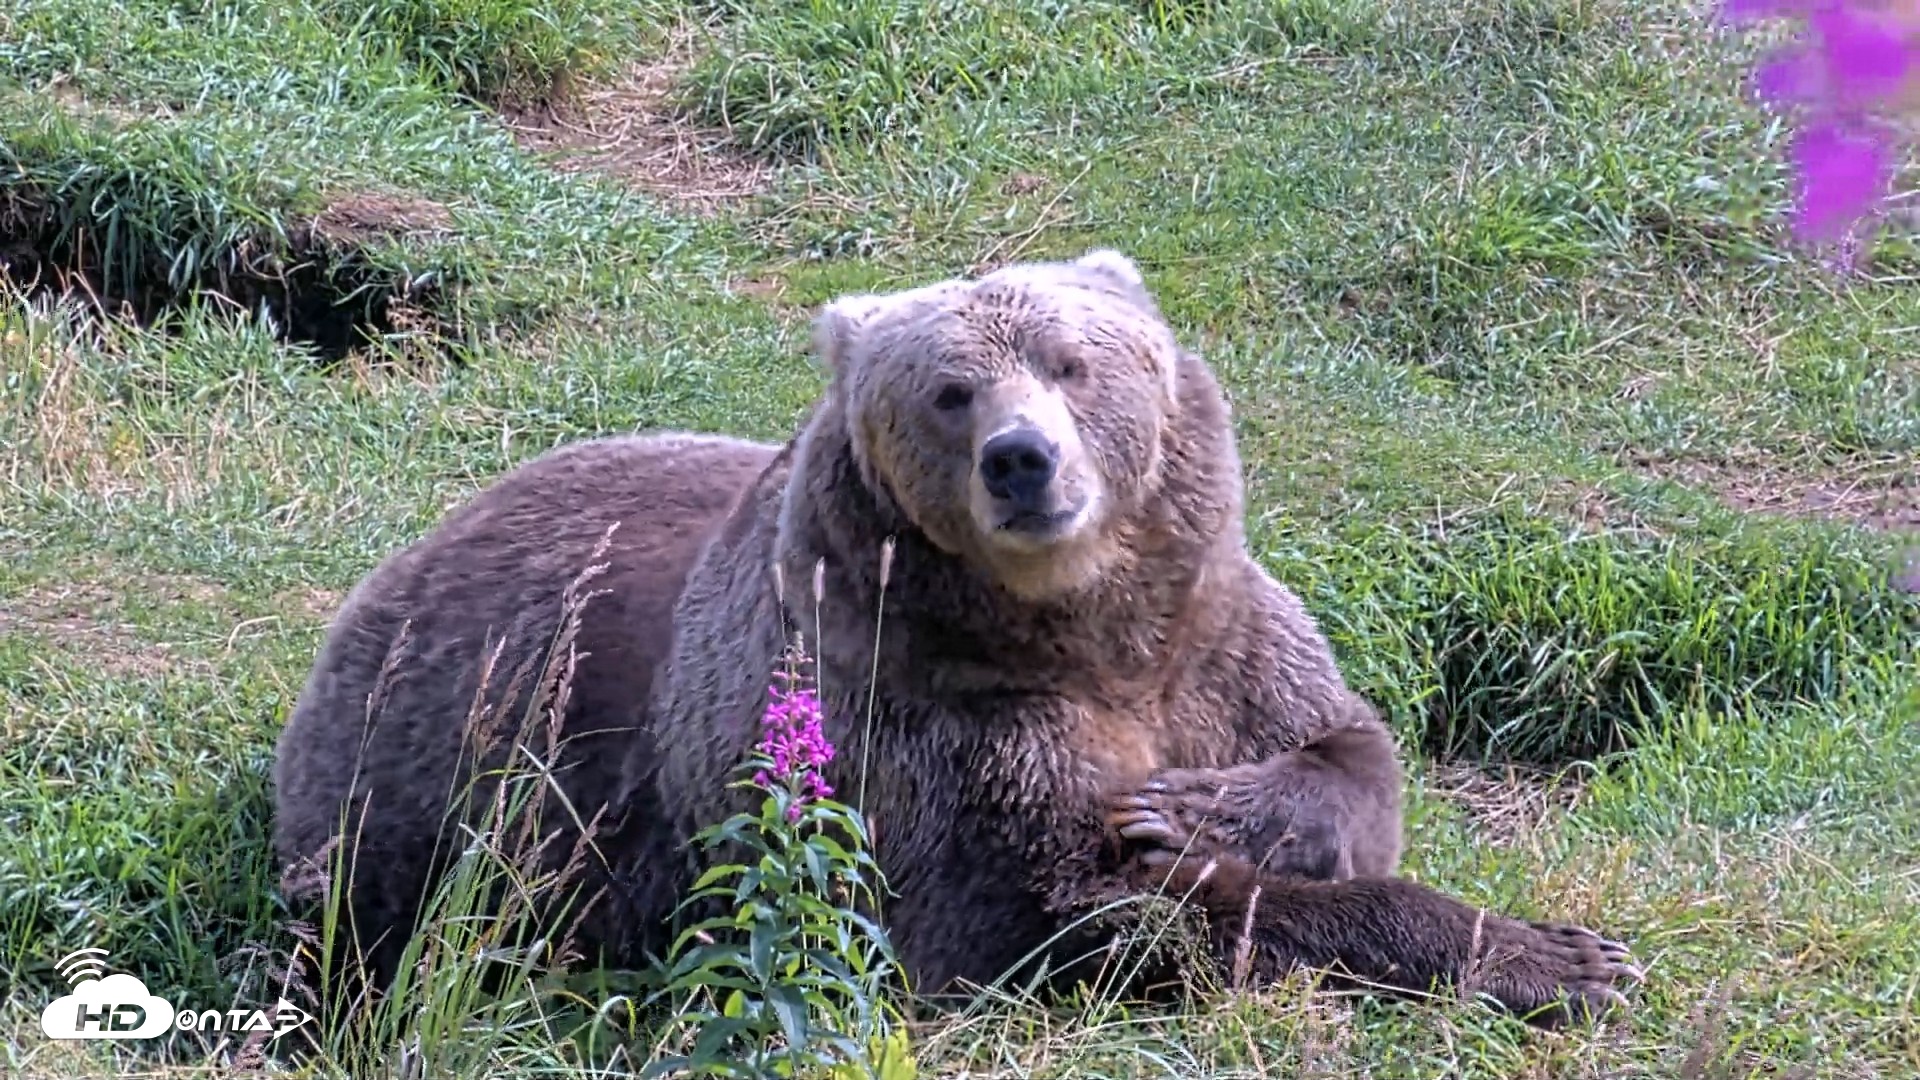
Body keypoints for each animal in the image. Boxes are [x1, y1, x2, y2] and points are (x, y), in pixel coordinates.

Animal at [271, 249, 1643, 1028]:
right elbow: (1062, 910)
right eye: (949, 390)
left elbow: (1343, 751)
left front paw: (1197, 803)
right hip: (445, 776)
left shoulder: (1218, 636)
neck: (1080, 625)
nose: (1022, 459)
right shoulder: (928, 718)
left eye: (1073, 360)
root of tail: (413, 552)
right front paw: (1568, 959)